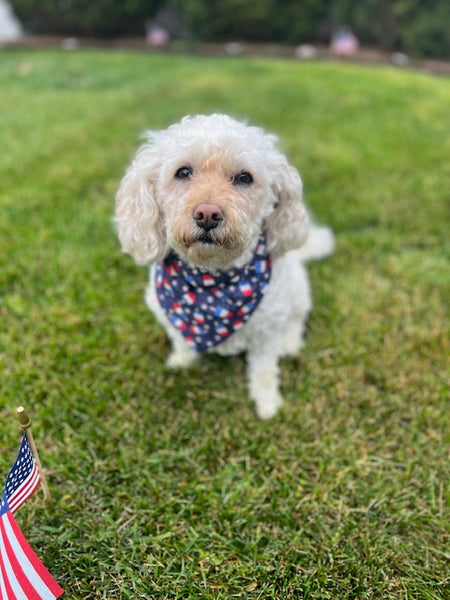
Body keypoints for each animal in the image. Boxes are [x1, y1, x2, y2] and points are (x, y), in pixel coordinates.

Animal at [116, 112, 334, 418]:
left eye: (244, 177)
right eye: (183, 172)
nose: (207, 214)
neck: (211, 281)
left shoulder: (266, 334)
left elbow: (264, 371)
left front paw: (267, 403)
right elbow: (181, 341)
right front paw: (181, 361)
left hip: (299, 293)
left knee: (296, 320)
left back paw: (290, 344)